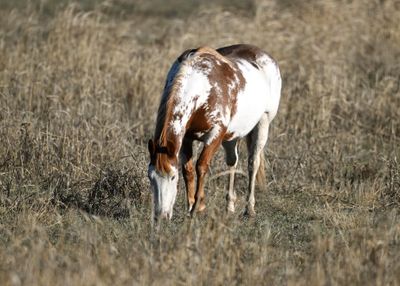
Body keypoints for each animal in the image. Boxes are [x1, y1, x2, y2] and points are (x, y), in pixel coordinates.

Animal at [147, 44, 282, 219]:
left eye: (172, 177)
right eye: (150, 177)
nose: (161, 216)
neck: (202, 86)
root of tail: (263, 55)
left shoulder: (215, 135)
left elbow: (201, 166)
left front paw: (198, 206)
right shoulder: (186, 138)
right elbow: (188, 170)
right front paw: (191, 205)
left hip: (263, 123)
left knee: (253, 163)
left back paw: (249, 209)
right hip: (231, 136)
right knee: (232, 162)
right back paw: (230, 206)